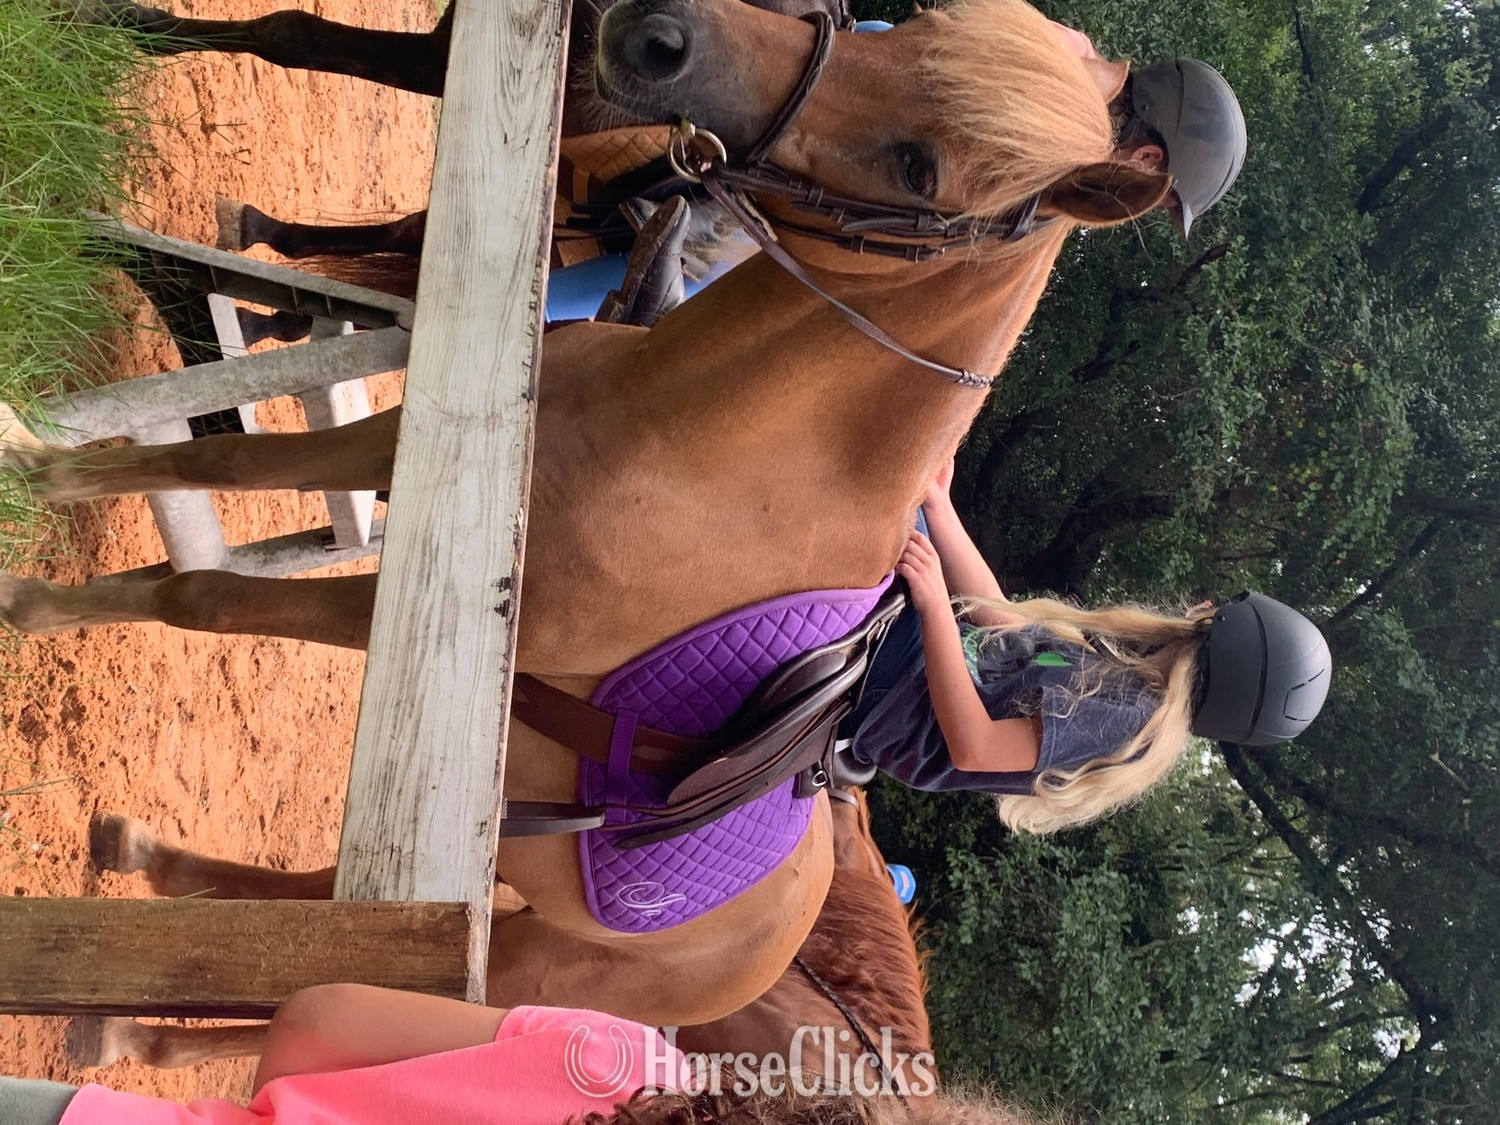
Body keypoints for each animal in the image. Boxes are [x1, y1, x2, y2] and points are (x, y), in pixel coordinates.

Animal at [1, 0, 1171, 1026]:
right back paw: (144, 860)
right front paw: (39, 467)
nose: (658, 35)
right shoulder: (406, 441)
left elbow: (202, 595)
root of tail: (778, 948)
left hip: (518, 965)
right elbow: (231, 462)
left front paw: (30, 602)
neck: (695, 448)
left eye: (919, 168)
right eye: (915, 25)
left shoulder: (427, 599)